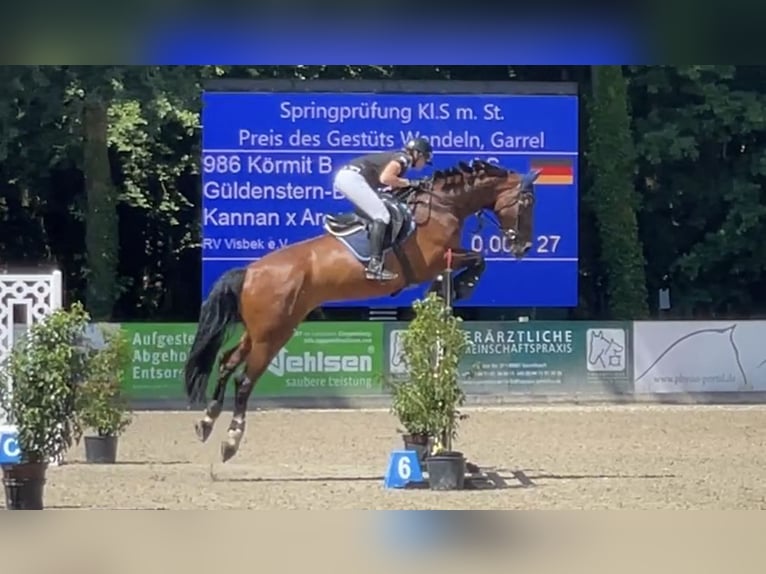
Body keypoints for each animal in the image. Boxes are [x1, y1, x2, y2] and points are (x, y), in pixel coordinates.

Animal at [183, 158, 540, 462]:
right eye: (526, 203)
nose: (523, 246)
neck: (443, 205)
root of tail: (250, 271)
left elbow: (474, 261)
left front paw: (449, 289)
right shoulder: (436, 260)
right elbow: (478, 258)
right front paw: (464, 285)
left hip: (262, 331)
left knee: (227, 363)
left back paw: (207, 422)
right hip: (272, 335)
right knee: (243, 380)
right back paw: (231, 440)